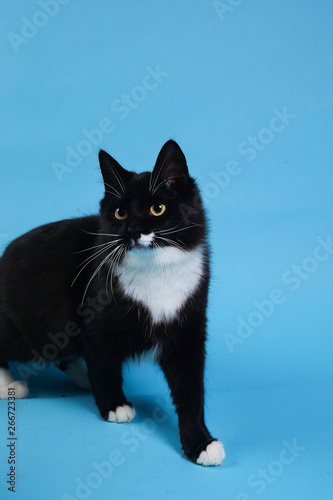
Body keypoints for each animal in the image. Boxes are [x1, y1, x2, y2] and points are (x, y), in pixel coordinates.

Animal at [0, 140, 224, 464]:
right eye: (120, 213)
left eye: (158, 208)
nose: (132, 231)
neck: (155, 270)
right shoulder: (94, 319)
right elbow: (104, 364)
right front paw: (114, 405)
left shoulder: (188, 326)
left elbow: (191, 389)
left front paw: (201, 443)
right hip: (31, 327)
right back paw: (9, 384)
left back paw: (83, 377)